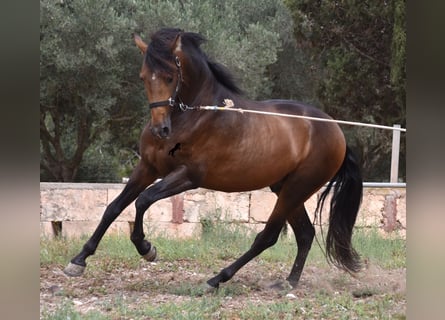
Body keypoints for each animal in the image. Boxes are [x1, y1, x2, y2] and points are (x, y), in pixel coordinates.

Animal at [64, 26, 362, 288]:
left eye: (170, 76)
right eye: (143, 76)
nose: (161, 130)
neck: (193, 115)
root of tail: (335, 130)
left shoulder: (189, 176)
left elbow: (143, 201)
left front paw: (146, 248)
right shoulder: (147, 168)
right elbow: (114, 207)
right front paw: (78, 261)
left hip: (297, 188)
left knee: (267, 236)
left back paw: (217, 279)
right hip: (285, 188)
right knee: (305, 234)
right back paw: (288, 282)